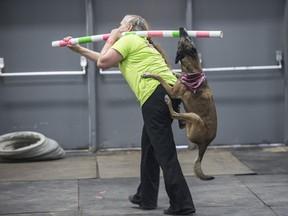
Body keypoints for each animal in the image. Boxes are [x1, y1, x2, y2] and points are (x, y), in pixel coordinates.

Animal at [143, 27, 217, 181]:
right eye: (188, 38)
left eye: (184, 39)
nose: (181, 28)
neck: (192, 70)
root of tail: (205, 145)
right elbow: (174, 73)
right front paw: (174, 72)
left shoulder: (172, 91)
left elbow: (160, 77)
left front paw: (149, 74)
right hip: (190, 119)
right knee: (180, 121)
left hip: (195, 117)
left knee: (174, 114)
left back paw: (169, 104)